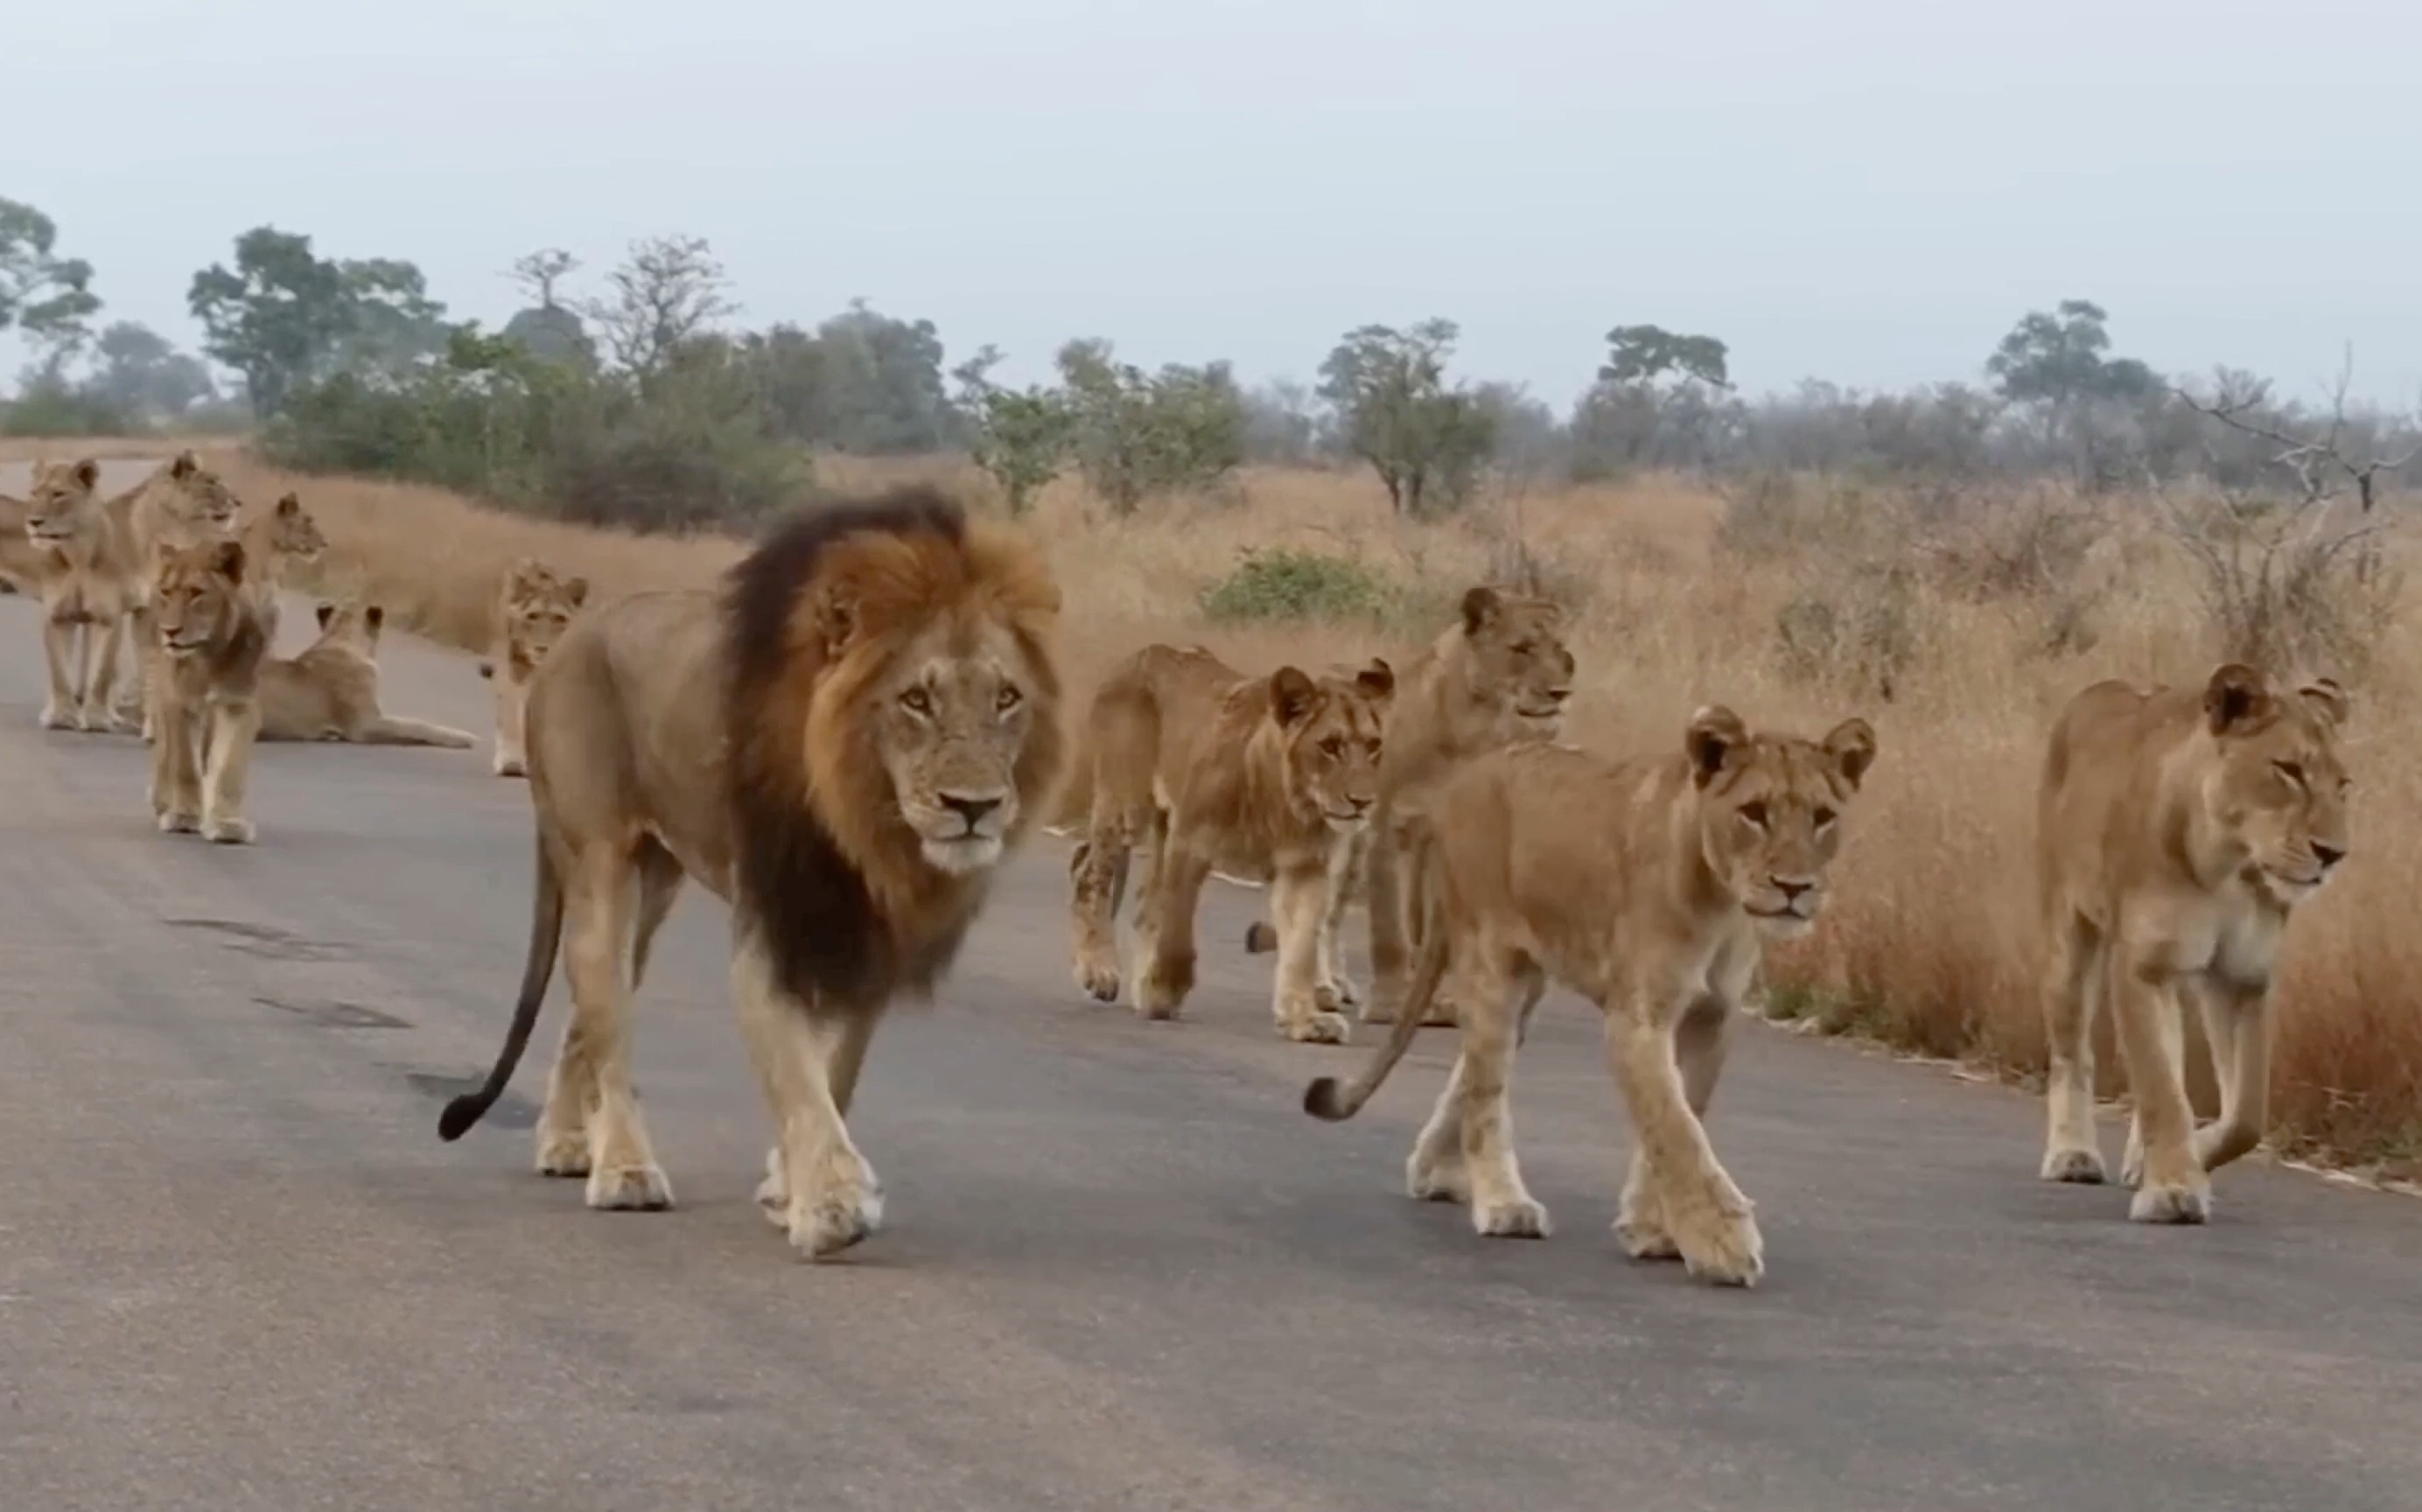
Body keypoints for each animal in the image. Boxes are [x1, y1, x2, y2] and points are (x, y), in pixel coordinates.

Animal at [443, 486, 1060, 1260]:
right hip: (600, 864)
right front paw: (831, 1206)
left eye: (1007, 698)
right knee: (608, 1021)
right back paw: (624, 1170)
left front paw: (786, 1185)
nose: (974, 807)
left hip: (656, 883)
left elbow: (837, 1073)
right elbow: (797, 1075)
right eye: (916, 700)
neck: (861, 815)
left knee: (584, 1013)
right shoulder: (772, 928)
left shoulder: (866, 939)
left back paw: (564, 1142)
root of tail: (569, 642)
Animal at [1070, 644, 1395, 1046]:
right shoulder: (1190, 843)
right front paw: (1162, 994)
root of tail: (1140, 654)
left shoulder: (1305, 868)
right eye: (1330, 747)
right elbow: (1176, 937)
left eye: (1374, 746)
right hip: (1129, 806)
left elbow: (1301, 947)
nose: (1363, 801)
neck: (1283, 799)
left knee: (1144, 901)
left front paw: (1304, 1019)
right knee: (1088, 869)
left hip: (1161, 823)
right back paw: (1099, 971)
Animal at [1298, 707, 1879, 1289]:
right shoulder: (1636, 1018)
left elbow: (1677, 1117)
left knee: (1471, 1069)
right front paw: (1723, 1243)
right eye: (1753, 813)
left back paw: (1434, 1170)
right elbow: (1675, 1130)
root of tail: (1464, 780)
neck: (1723, 905)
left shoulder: (1712, 1018)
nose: (1795, 887)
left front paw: (1652, 1230)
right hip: (1492, 964)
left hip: (1527, 986)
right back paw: (1504, 1205)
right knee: (1486, 1090)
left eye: (1823, 817)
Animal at [2034, 663, 2354, 1230]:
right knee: (2074, 1052)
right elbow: (2162, 1092)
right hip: (2067, 940)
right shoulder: (2144, 967)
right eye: (2289, 770)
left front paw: (2169, 1164)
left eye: (2343, 785)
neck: (2233, 864)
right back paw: (2073, 1155)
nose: (2333, 854)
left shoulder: (2242, 977)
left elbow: (2246, 1114)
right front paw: (2172, 1190)